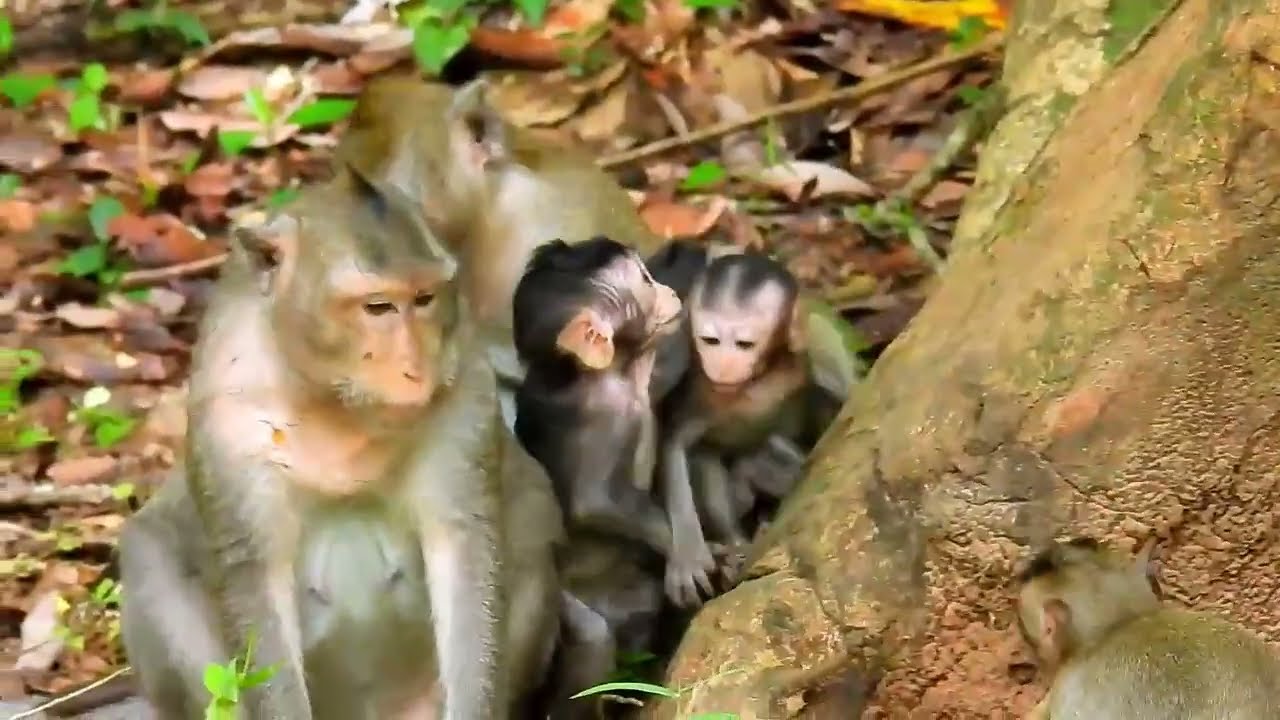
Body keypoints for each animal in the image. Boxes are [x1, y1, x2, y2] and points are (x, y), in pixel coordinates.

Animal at [116, 165, 568, 720]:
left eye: (425, 298)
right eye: (378, 307)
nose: (416, 369)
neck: (335, 404)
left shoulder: (465, 393)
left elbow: (465, 543)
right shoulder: (231, 422)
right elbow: (255, 577)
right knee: (149, 554)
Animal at [511, 236, 711, 669]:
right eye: (646, 281)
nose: (671, 293)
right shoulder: (608, 415)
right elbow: (594, 502)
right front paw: (686, 555)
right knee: (593, 635)